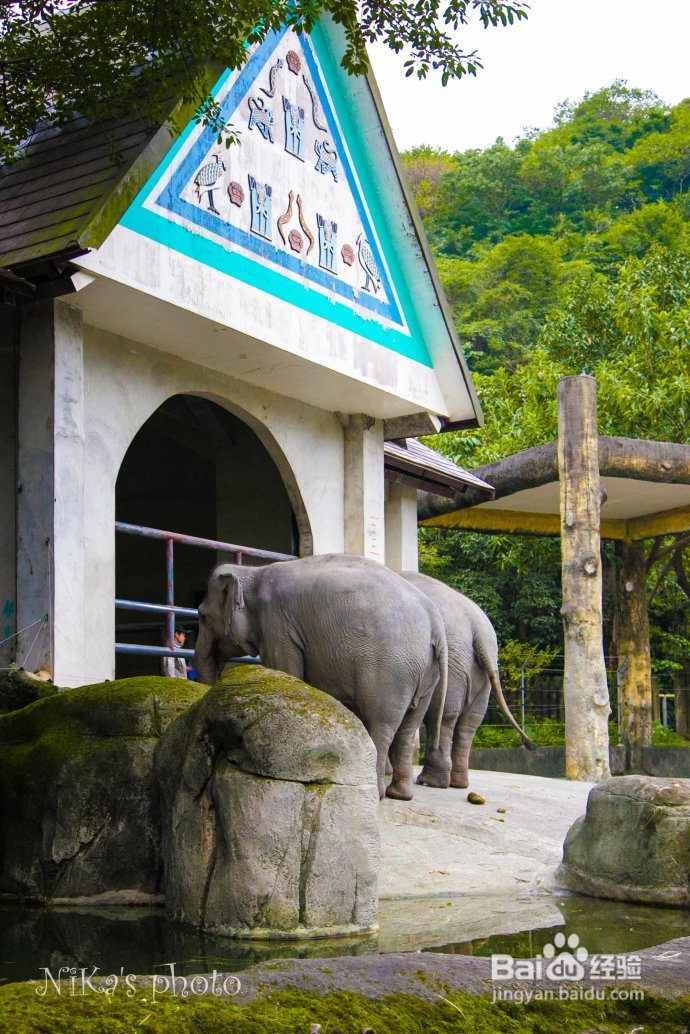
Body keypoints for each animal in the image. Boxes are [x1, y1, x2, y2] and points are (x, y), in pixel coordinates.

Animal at [195, 554, 448, 802]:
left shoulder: (278, 628)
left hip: (391, 669)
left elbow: (286, 671)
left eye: (202, 616)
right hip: (425, 674)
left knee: (382, 726)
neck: (253, 572)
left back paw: (377, 794)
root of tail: (435, 623)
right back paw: (400, 795)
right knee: (408, 729)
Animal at [399, 574, 533, 789]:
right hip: (477, 670)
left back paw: (430, 782)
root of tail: (479, 629)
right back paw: (458, 783)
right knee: (470, 721)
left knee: (442, 715)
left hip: (453, 662)